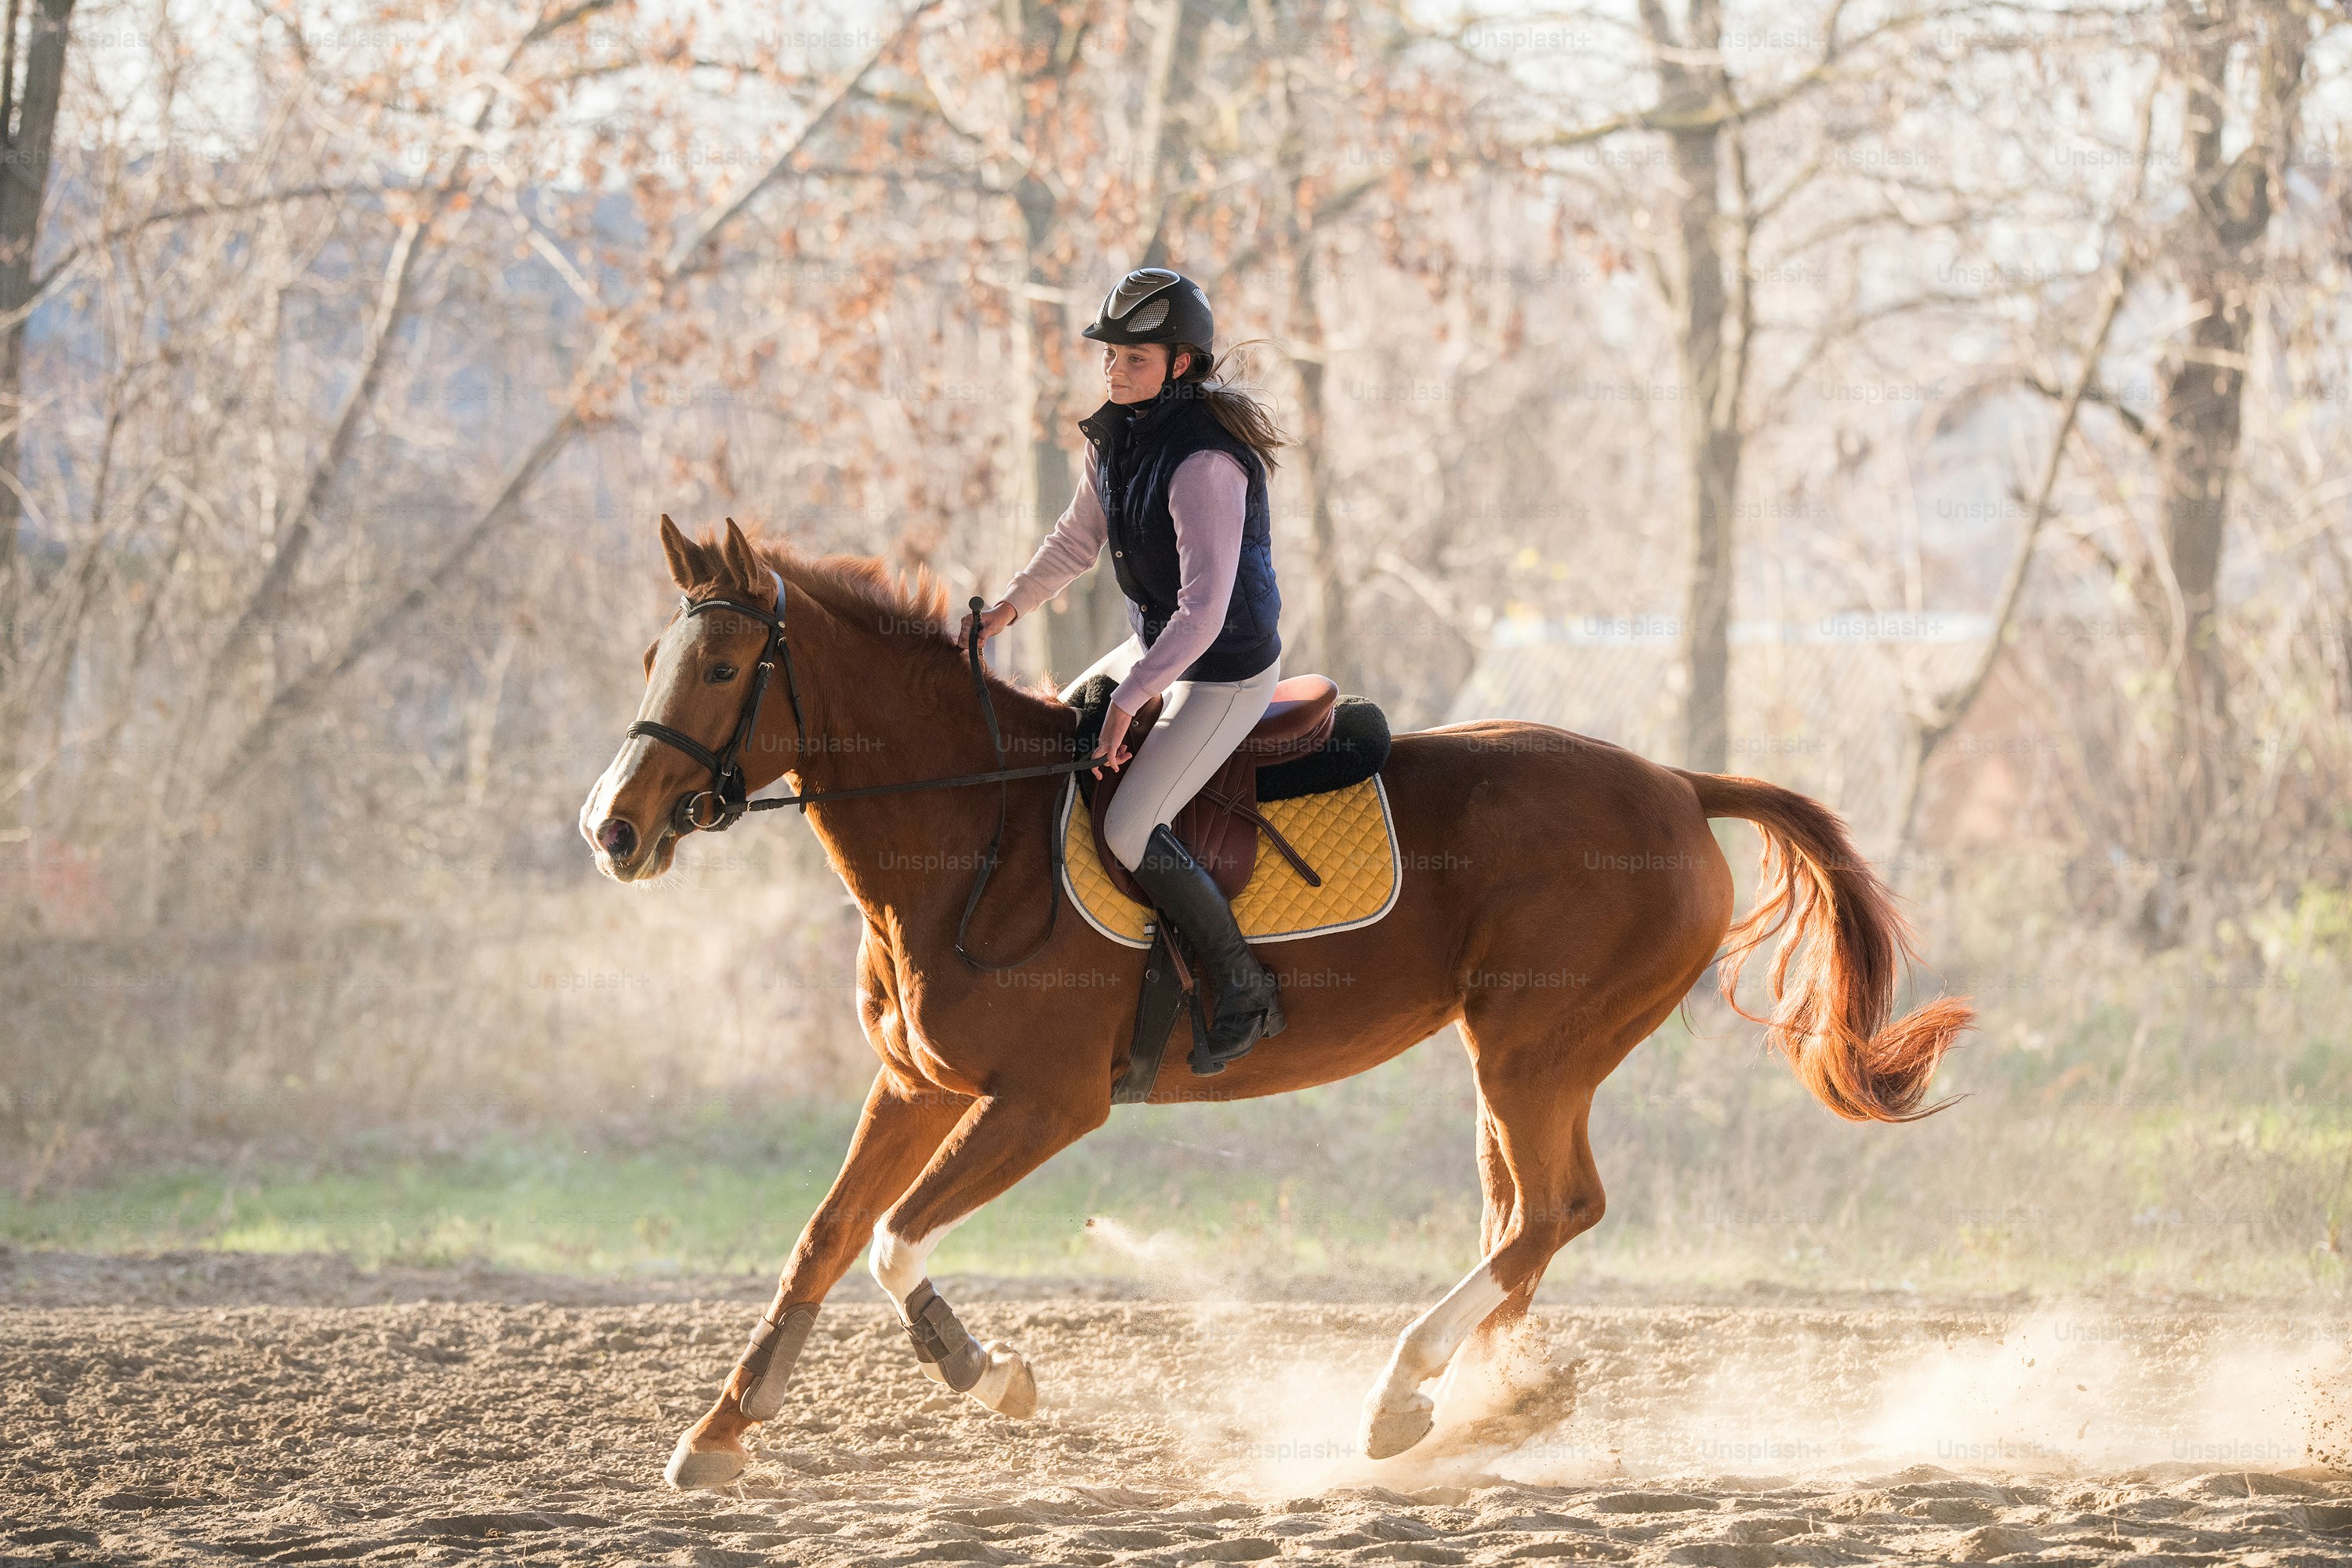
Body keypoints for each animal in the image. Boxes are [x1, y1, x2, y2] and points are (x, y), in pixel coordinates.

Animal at [579, 516, 1972, 1489]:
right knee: (1522, 1223)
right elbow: (822, 1240)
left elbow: (892, 1238)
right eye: (651, 658)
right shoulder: (918, 1084)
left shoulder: (1044, 1105)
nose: (613, 831)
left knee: (1553, 1211)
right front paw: (720, 1436)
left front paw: (989, 1375)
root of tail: (1680, 786)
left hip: (1538, 1048)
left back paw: (1404, 1396)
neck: (971, 829)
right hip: (1520, 1059)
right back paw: (1483, 1409)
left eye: (721, 665)